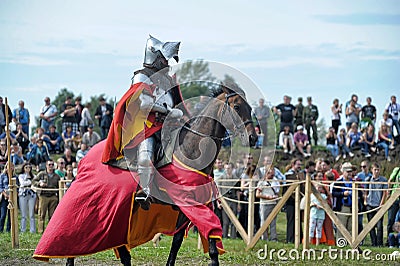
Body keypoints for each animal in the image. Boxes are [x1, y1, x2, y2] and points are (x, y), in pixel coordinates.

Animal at [34, 82, 256, 264]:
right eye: (237, 107)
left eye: (250, 108)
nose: (253, 138)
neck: (190, 148)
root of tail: (84, 158)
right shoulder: (188, 201)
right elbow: (210, 233)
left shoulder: (189, 206)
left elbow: (179, 241)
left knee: (120, 249)